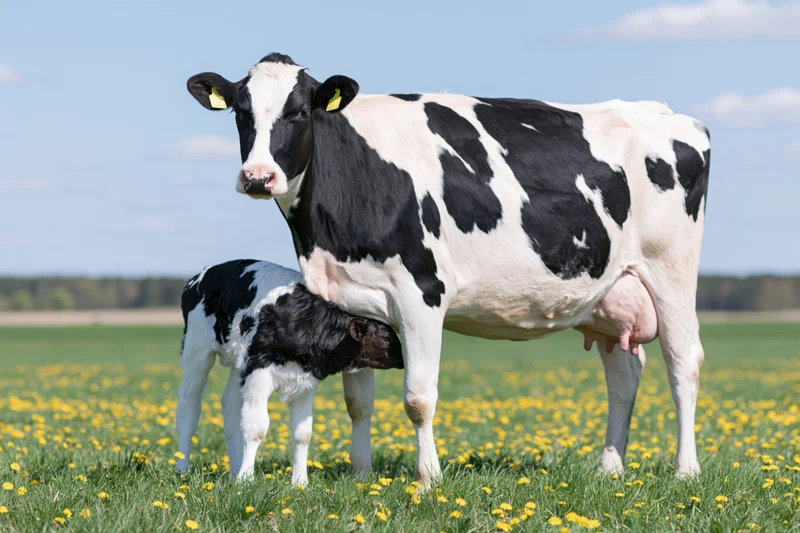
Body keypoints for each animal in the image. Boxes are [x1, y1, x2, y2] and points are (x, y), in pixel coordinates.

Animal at [175, 259, 402, 484]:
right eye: (387, 337)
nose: (404, 357)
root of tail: (202, 274)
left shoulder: (305, 382)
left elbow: (303, 432)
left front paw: (299, 482)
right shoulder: (258, 370)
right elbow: (256, 428)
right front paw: (246, 480)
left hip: (238, 364)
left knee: (230, 407)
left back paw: (234, 471)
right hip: (196, 349)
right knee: (189, 406)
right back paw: (183, 468)